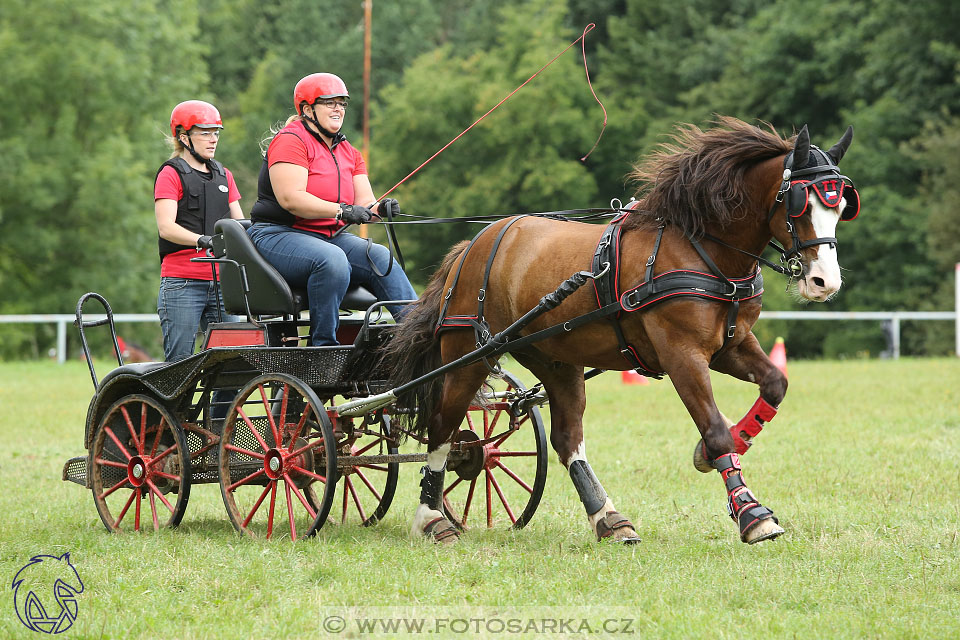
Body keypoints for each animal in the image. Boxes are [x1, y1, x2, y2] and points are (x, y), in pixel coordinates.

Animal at [386, 116, 860, 544]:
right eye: (800, 204)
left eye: (840, 206)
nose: (825, 282)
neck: (701, 248)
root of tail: (474, 245)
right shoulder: (681, 353)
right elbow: (713, 426)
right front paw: (751, 512)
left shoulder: (732, 346)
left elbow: (775, 385)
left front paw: (714, 452)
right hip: (470, 353)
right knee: (443, 426)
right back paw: (432, 520)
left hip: (555, 359)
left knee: (566, 439)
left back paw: (609, 519)